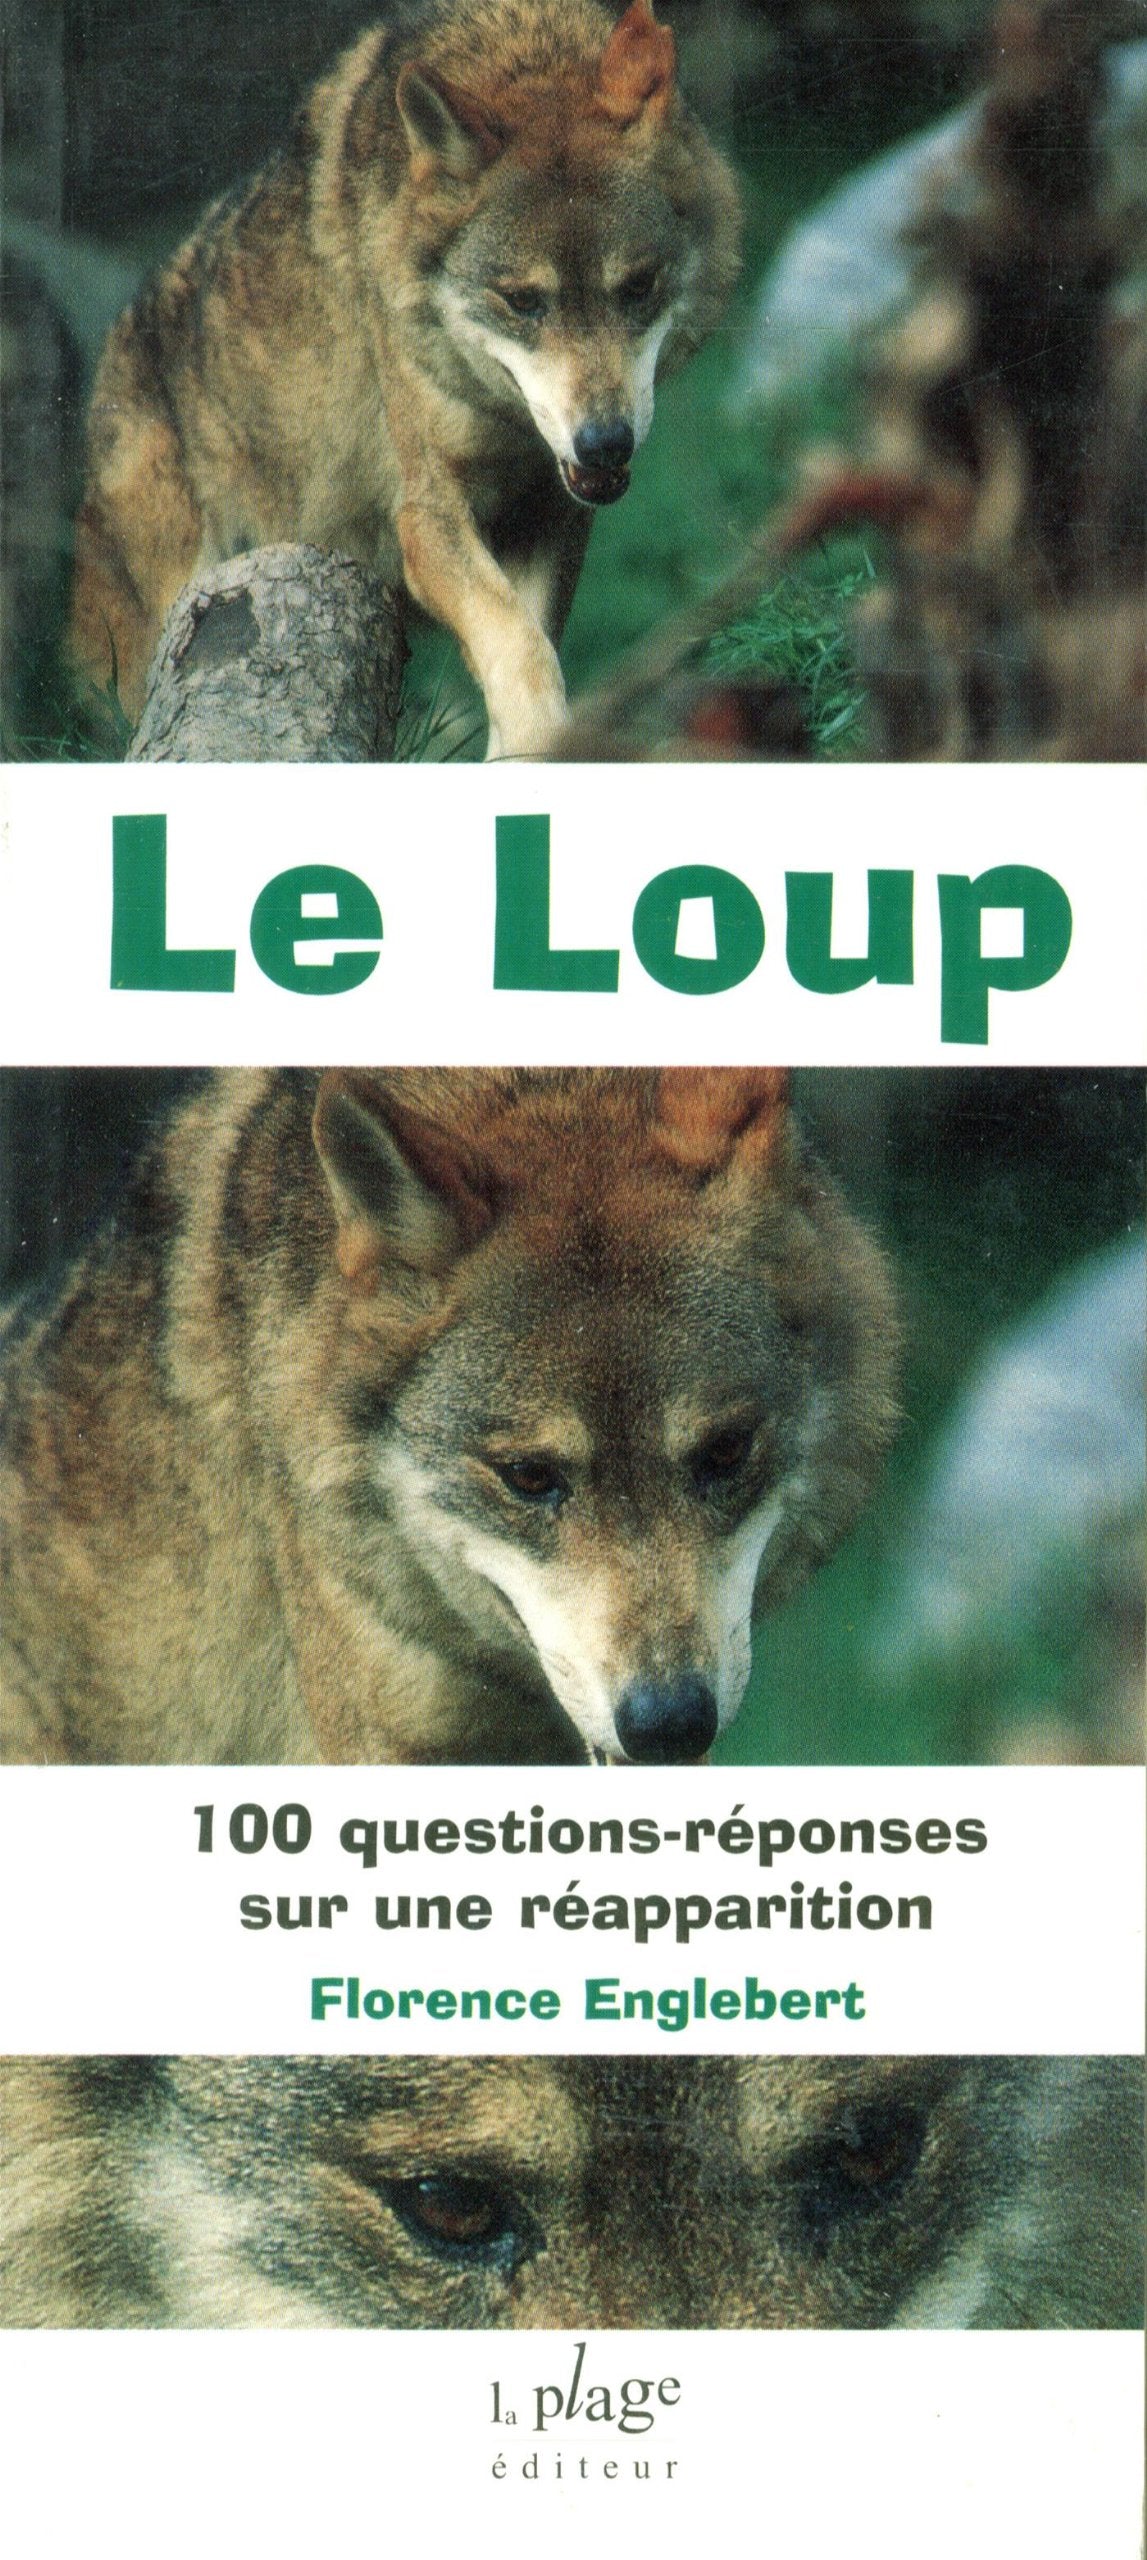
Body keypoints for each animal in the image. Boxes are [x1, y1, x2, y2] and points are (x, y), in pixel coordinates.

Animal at [69, 1, 741, 755]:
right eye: (522, 301)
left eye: (638, 287)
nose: (604, 443)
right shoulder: (426, 515)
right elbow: (519, 650)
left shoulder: (553, 513)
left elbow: (532, 644)